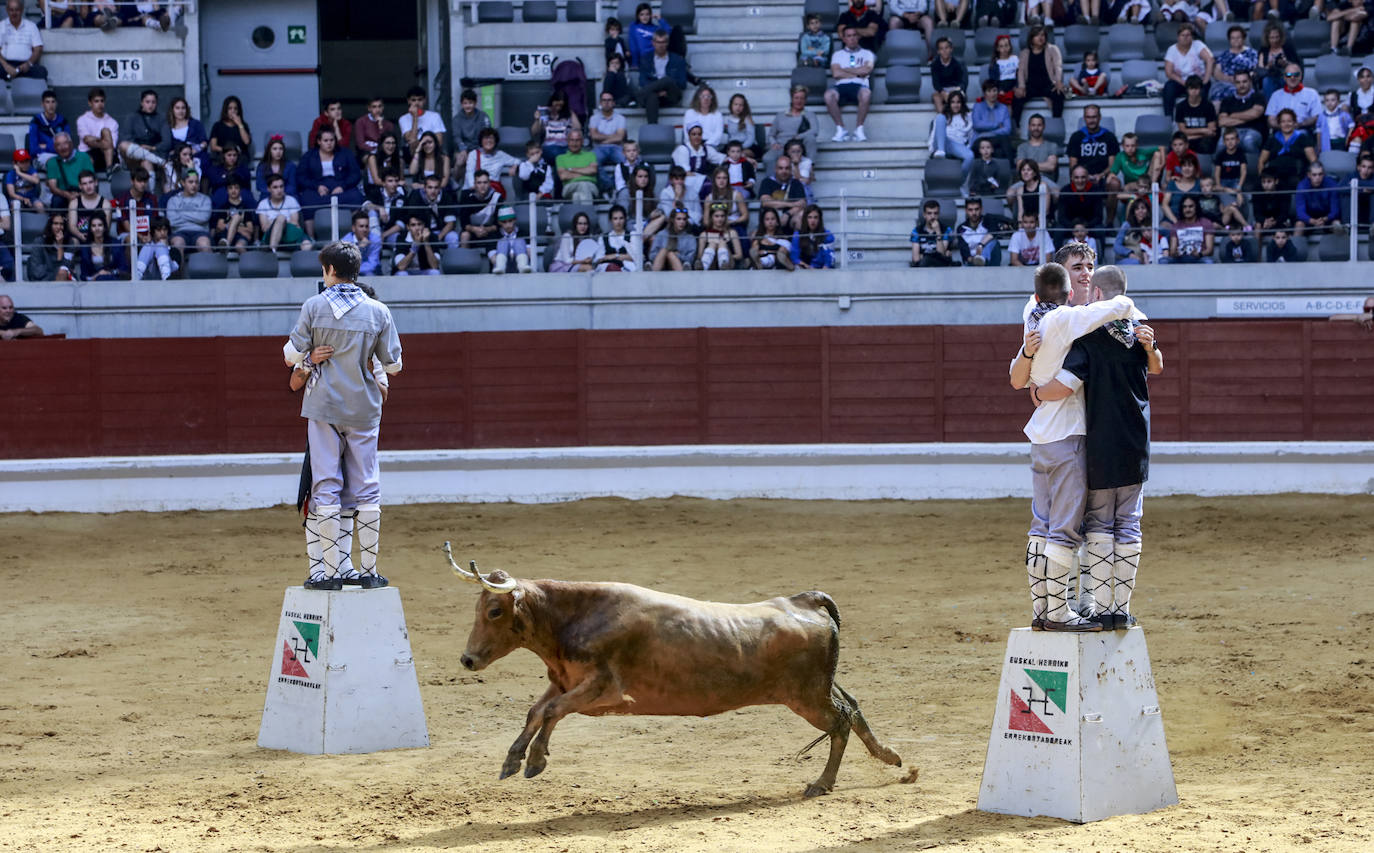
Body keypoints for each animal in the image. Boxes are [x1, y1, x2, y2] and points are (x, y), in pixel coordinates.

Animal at [445, 541, 906, 796]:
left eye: (494, 610)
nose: (468, 659)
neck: (573, 618)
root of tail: (803, 600)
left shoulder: (602, 689)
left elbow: (551, 711)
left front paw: (536, 760)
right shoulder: (564, 681)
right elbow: (536, 710)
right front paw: (512, 761)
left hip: (806, 695)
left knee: (840, 719)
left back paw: (821, 784)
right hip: (819, 686)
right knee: (852, 706)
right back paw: (891, 757)